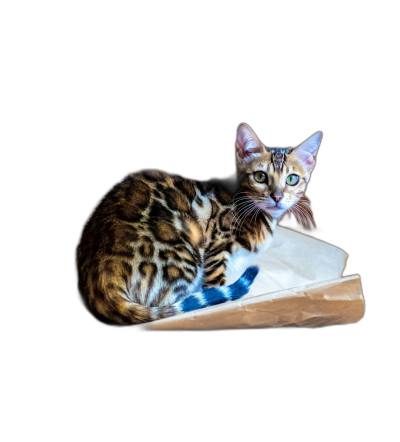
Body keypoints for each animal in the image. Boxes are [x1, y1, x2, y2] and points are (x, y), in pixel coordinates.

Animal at [75, 122, 322, 326]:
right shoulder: (218, 246)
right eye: (260, 176)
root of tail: (100, 278)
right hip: (185, 255)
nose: (277, 196)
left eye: (292, 179)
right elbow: (217, 289)